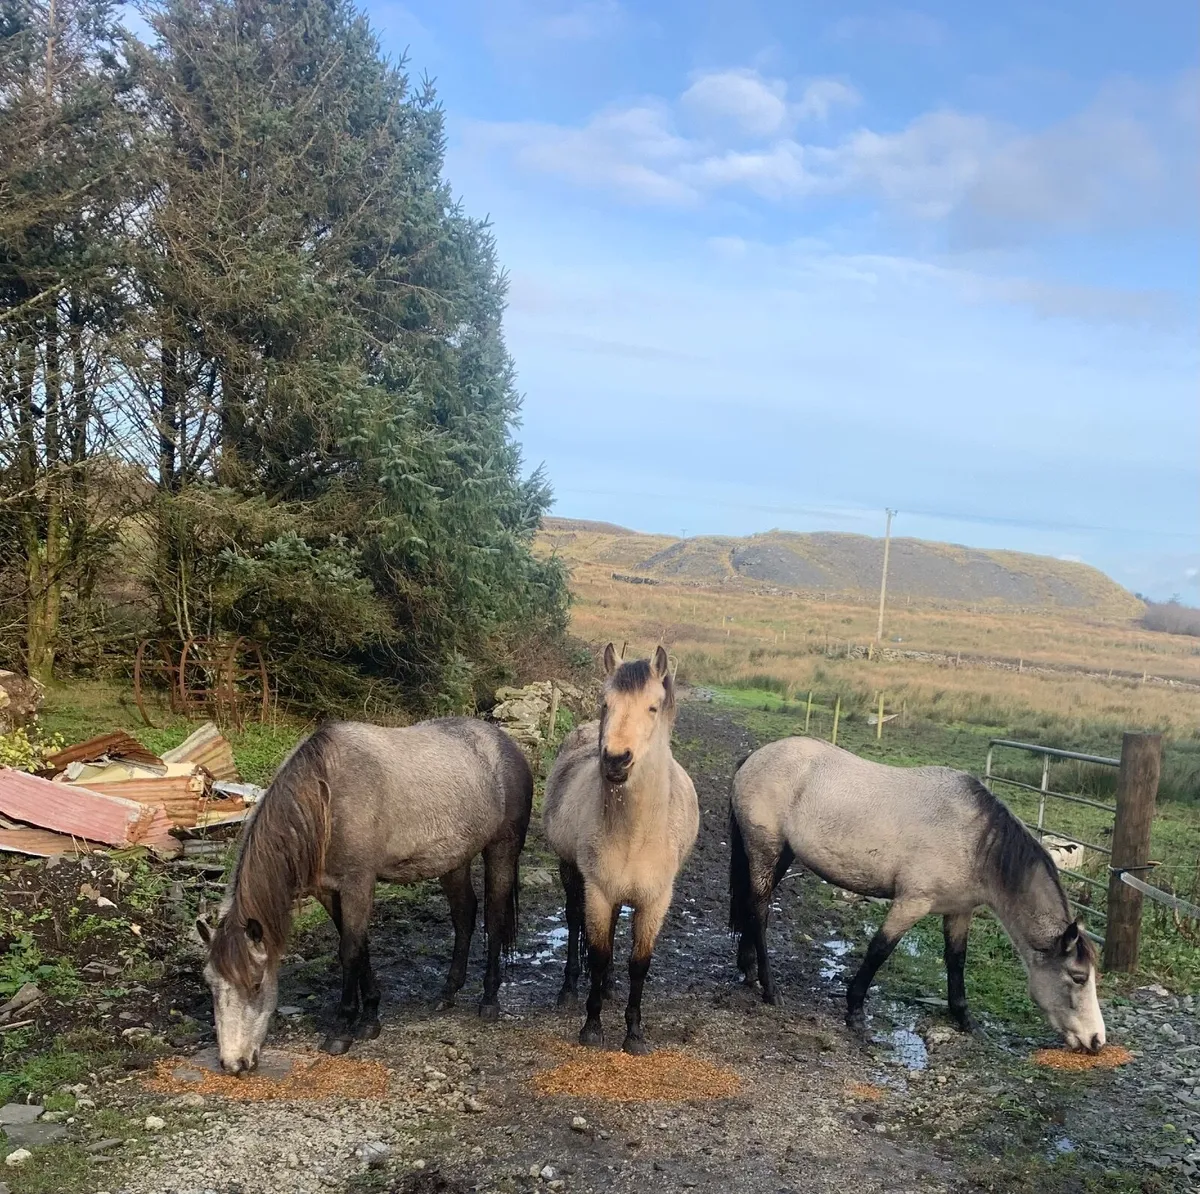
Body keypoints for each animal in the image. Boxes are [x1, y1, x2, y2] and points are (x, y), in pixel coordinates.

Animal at [195, 717, 532, 1073]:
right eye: (211, 984)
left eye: (257, 983)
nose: (233, 1063)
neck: (325, 798)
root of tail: (505, 744)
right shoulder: (329, 891)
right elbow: (359, 946)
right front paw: (370, 1017)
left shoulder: (358, 883)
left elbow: (350, 951)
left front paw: (342, 1030)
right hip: (455, 860)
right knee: (464, 915)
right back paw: (448, 993)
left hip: (502, 849)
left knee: (494, 919)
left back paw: (489, 999)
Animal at [543, 644, 699, 1054]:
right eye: (605, 703)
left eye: (653, 707)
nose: (615, 760)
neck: (637, 834)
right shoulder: (598, 890)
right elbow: (598, 954)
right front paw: (592, 1026)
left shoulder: (655, 900)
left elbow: (638, 963)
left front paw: (634, 1033)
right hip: (570, 870)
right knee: (574, 921)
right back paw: (569, 988)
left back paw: (612, 988)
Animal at [728, 736, 1106, 1053]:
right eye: (1078, 977)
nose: (1097, 1040)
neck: (977, 842)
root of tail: (757, 757)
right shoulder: (912, 903)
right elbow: (879, 950)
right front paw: (855, 1012)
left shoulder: (959, 911)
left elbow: (956, 960)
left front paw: (966, 1020)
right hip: (765, 849)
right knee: (759, 911)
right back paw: (770, 988)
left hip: (782, 855)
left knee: (754, 905)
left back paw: (748, 969)